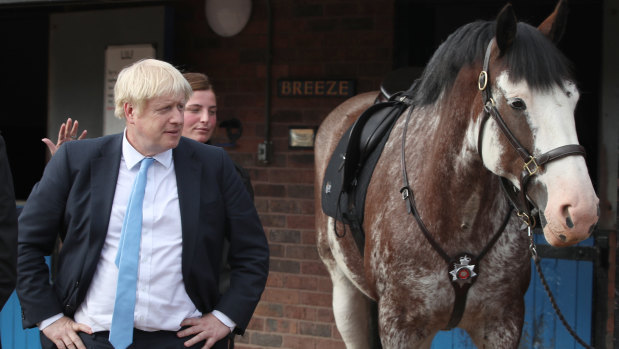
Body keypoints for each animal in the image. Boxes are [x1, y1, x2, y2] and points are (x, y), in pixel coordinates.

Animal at [314, 1, 600, 346]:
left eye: (574, 100)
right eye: (517, 103)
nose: (580, 212)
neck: (457, 210)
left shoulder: (503, 323)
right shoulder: (401, 327)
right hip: (343, 289)